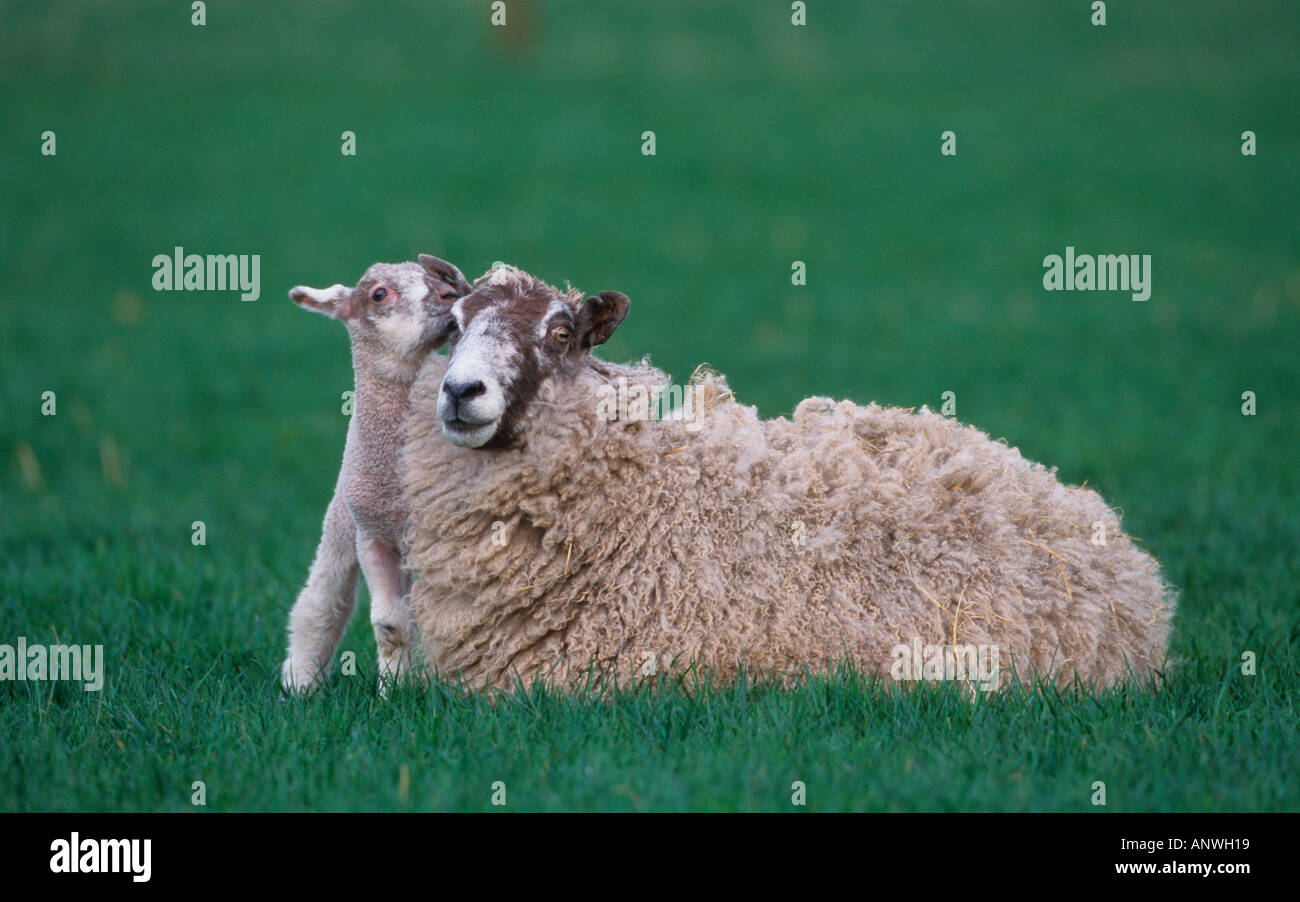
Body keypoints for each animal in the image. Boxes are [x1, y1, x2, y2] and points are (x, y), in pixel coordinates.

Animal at [280, 255, 471, 694]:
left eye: (433, 276)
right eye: (379, 294)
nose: (448, 293)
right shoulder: (372, 535)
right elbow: (389, 626)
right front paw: (394, 693)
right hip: (340, 521)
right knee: (321, 600)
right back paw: (299, 684)